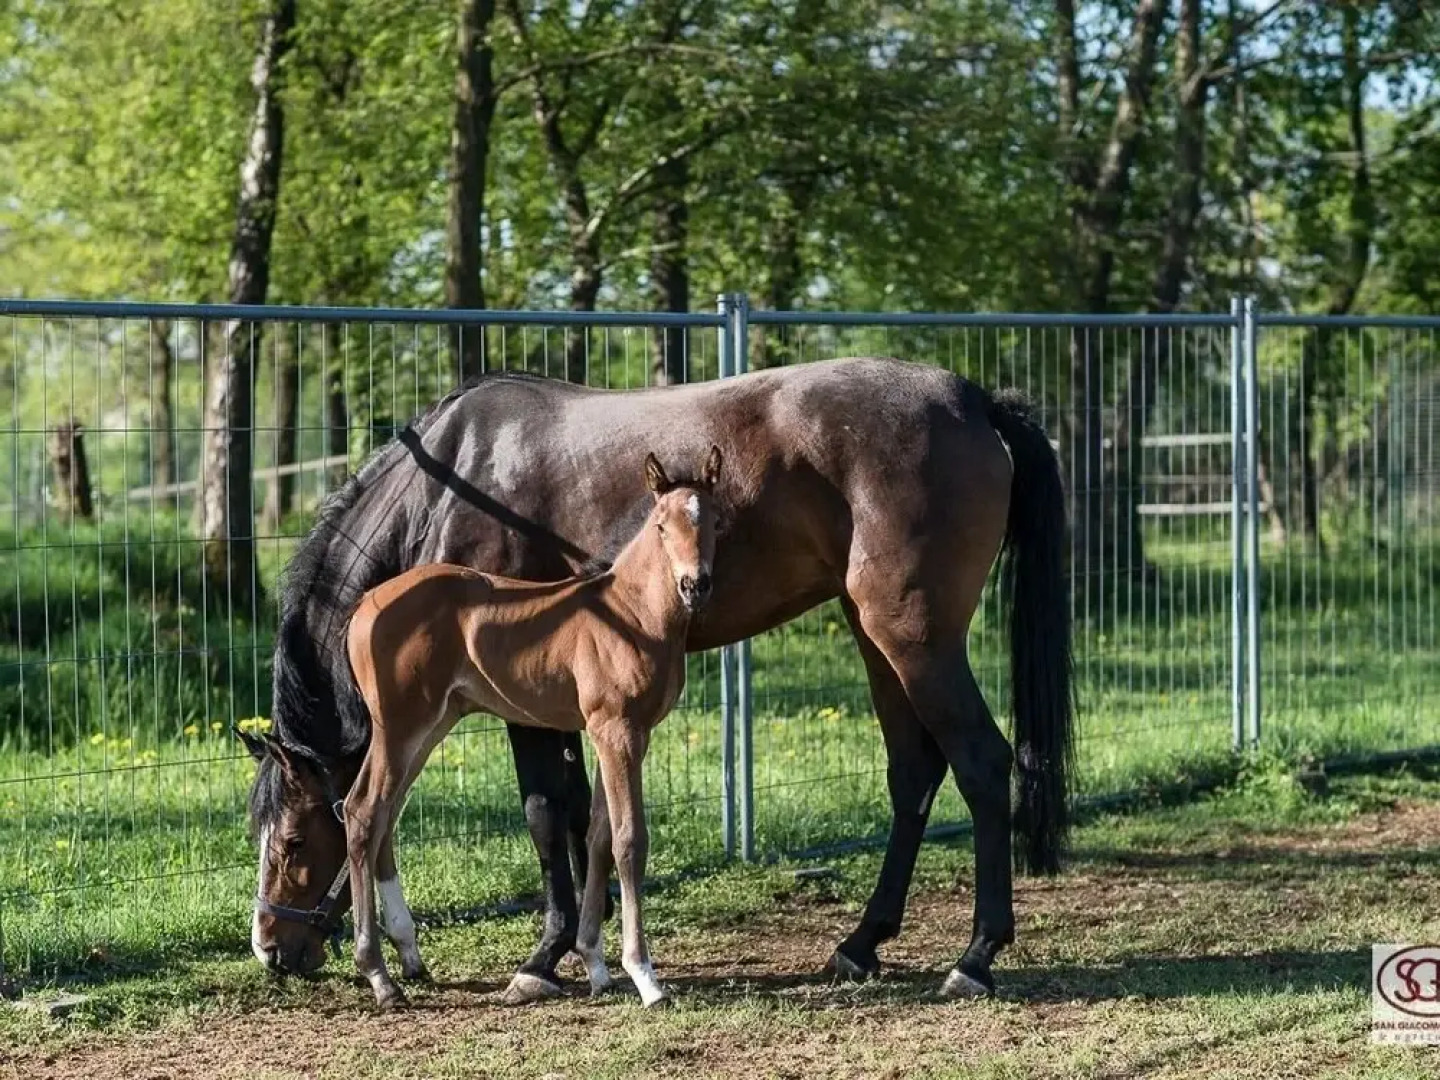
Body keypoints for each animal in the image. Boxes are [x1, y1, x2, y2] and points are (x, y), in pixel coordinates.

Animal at [243, 355, 1072, 1003]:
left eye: (290, 840)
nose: (271, 951)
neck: (451, 481)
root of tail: (972, 399)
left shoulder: (525, 705)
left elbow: (545, 812)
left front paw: (546, 957)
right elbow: (582, 816)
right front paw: (588, 945)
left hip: (917, 639)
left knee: (980, 762)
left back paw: (976, 956)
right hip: (877, 639)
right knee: (913, 773)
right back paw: (861, 943)